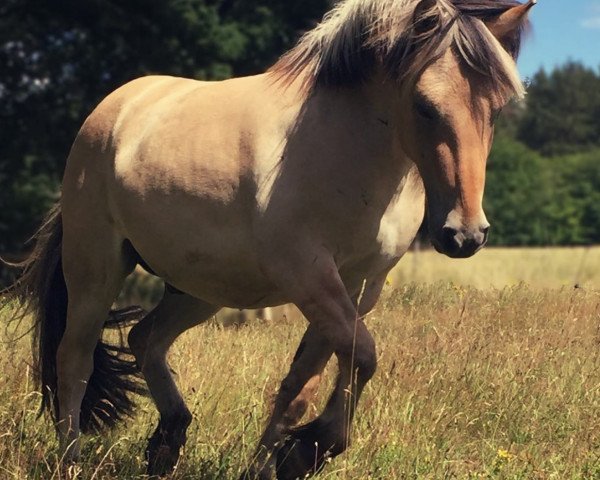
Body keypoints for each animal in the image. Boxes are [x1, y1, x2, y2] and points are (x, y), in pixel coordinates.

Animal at [5, 0, 536, 478]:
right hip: (95, 271)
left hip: (200, 288)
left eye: (496, 109)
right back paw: (72, 462)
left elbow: (304, 383)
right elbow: (363, 356)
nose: (464, 234)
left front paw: (276, 461)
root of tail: (113, 108)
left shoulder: (356, 288)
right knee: (73, 359)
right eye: (424, 106)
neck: (346, 147)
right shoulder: (309, 276)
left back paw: (168, 440)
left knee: (145, 338)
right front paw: (309, 450)